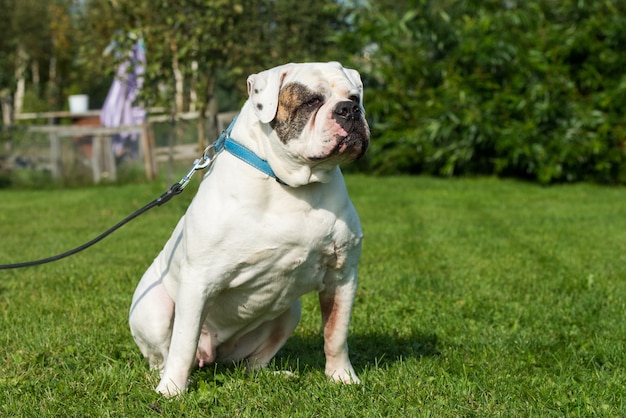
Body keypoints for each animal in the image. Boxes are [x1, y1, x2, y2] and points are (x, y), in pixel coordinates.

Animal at [129, 61, 368, 396]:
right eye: (312, 101)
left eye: (355, 97)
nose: (349, 110)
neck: (290, 184)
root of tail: (214, 353)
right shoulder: (198, 281)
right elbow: (183, 344)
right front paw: (172, 391)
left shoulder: (342, 275)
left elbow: (336, 333)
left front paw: (342, 377)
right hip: (156, 308)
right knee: (165, 355)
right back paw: (168, 378)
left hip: (289, 313)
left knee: (253, 363)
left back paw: (276, 374)